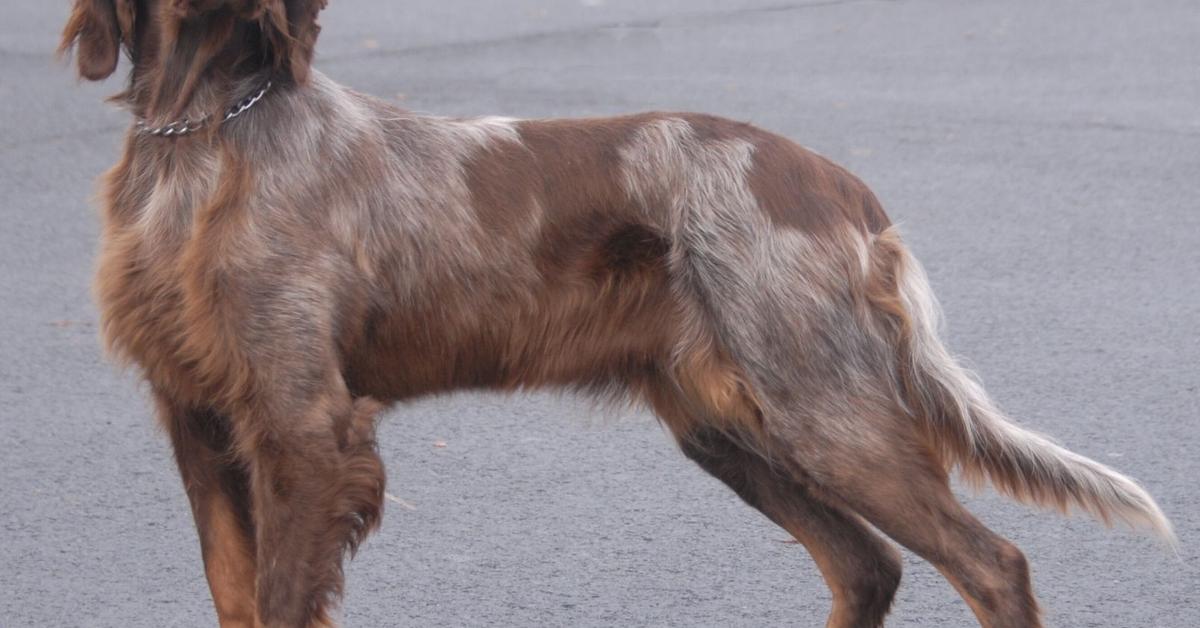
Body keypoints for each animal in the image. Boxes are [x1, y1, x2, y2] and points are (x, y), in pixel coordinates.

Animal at [58, 1, 1171, 628]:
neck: (205, 129)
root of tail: (848, 191)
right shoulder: (199, 417)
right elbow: (234, 591)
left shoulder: (304, 428)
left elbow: (281, 597)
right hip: (729, 427)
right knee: (869, 566)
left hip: (824, 412)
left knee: (990, 563)